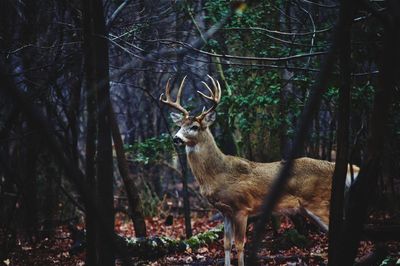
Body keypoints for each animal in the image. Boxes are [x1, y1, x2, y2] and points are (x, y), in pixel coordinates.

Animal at [159, 74, 360, 266]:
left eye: (194, 126)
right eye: (179, 126)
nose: (176, 138)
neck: (218, 174)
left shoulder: (242, 207)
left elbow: (240, 245)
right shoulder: (225, 211)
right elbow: (226, 244)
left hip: (318, 202)